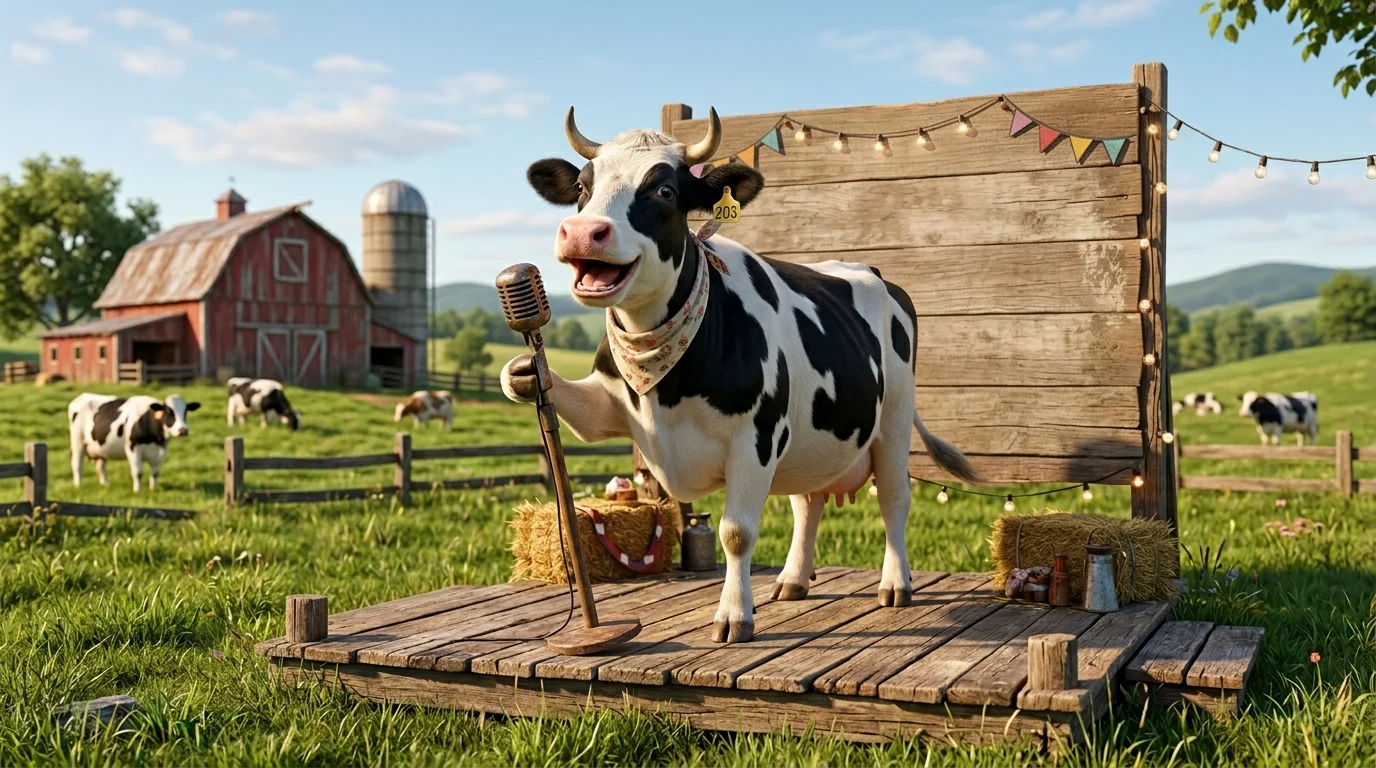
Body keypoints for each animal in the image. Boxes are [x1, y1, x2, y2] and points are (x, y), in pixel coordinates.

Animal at [68, 392, 201, 493]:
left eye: (185, 412)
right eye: (169, 412)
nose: (183, 430)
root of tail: (82, 396)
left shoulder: (161, 450)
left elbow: (155, 473)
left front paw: (153, 490)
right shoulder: (132, 447)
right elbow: (138, 472)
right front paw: (137, 491)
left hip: (100, 448)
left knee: (100, 466)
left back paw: (105, 485)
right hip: (77, 441)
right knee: (77, 464)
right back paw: (78, 486)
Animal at [500, 107, 979, 644]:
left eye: (665, 190)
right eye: (583, 187)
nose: (583, 232)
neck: (665, 380)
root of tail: (870, 271)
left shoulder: (757, 436)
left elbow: (736, 532)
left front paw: (734, 615)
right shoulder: (609, 409)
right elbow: (565, 402)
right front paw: (526, 370)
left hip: (894, 421)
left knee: (895, 499)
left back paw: (895, 585)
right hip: (811, 439)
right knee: (807, 501)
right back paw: (793, 580)